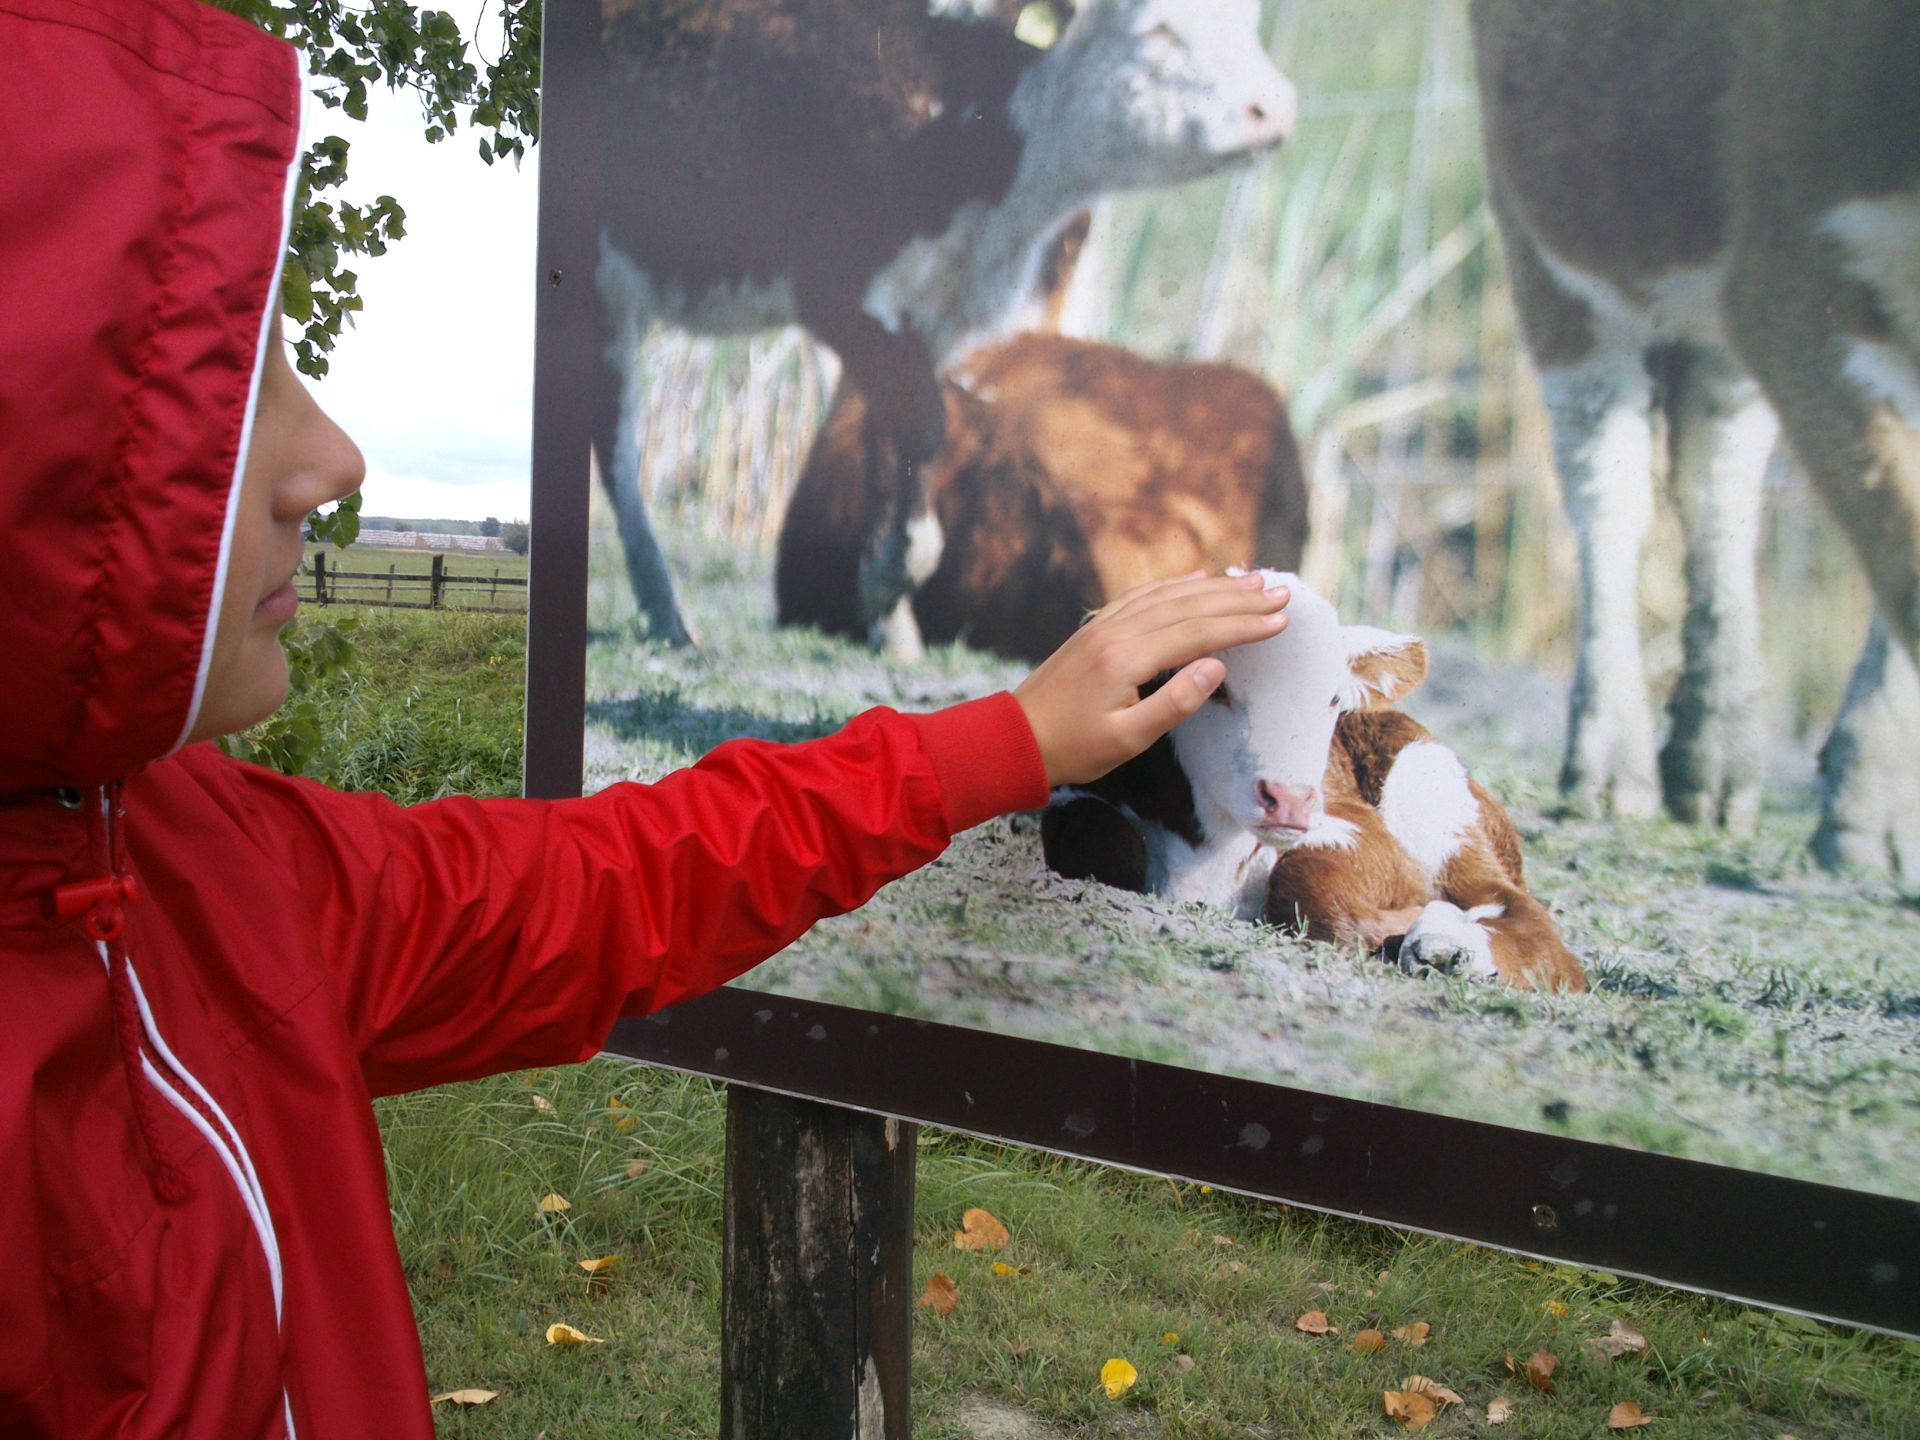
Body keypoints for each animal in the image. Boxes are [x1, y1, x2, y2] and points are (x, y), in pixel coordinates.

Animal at [1041, 572, 1588, 993]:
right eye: (1215, 687)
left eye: (1331, 697)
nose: (1289, 800)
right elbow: (1100, 840)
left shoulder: (1354, 824)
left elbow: (1309, 877)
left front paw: (1408, 921)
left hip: (1431, 786)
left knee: (1530, 922)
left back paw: (1447, 945)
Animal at [1471, 0, 1920, 885]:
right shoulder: (1791, 265)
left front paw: (1874, 811)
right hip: (1547, 224)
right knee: (1607, 482)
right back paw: (1615, 765)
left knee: (1719, 467)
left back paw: (1714, 760)